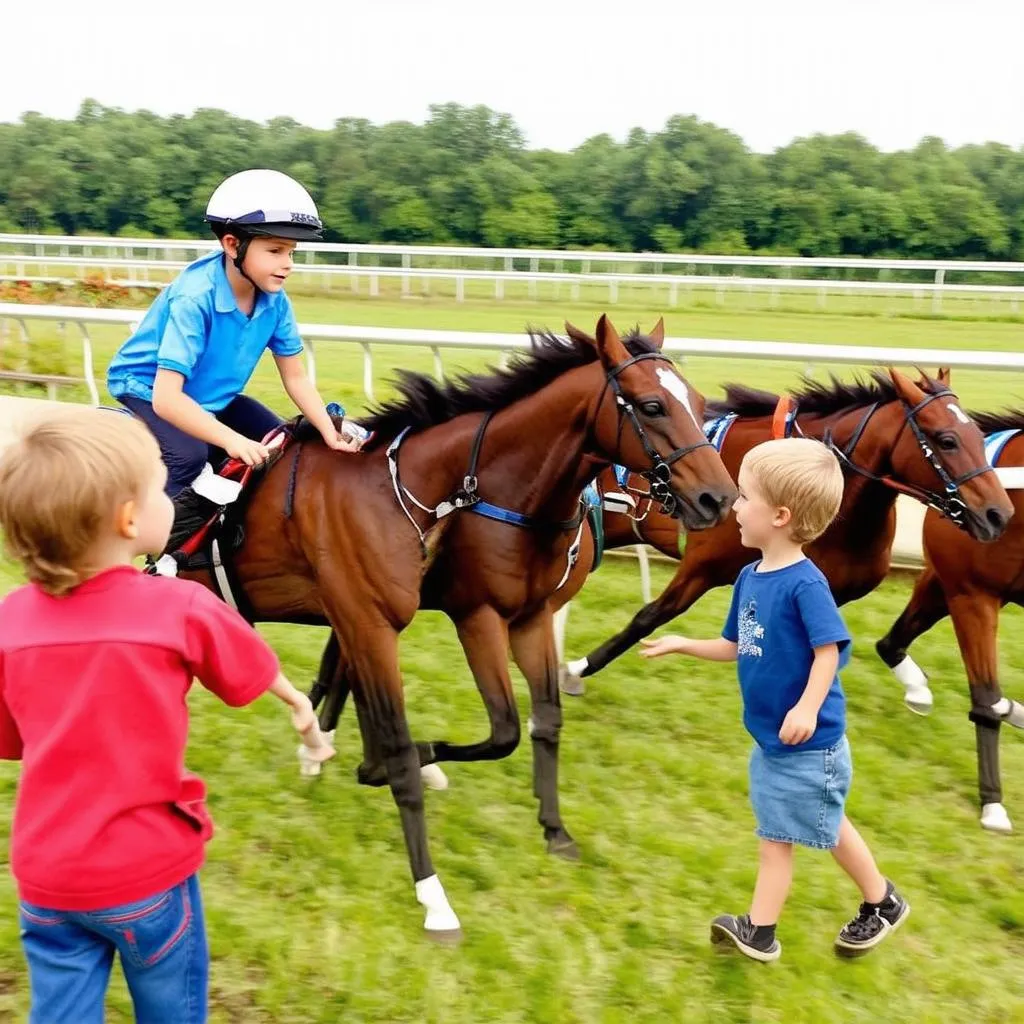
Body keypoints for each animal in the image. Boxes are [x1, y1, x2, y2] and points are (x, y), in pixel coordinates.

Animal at [180, 313, 733, 942]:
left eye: (698, 402)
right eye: (651, 405)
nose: (719, 498)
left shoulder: (528, 615)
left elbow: (543, 722)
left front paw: (554, 830)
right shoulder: (475, 614)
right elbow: (498, 730)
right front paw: (430, 868)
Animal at [561, 364, 1015, 692]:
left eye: (978, 434)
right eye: (946, 440)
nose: (999, 512)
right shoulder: (701, 569)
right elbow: (649, 616)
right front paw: (575, 669)